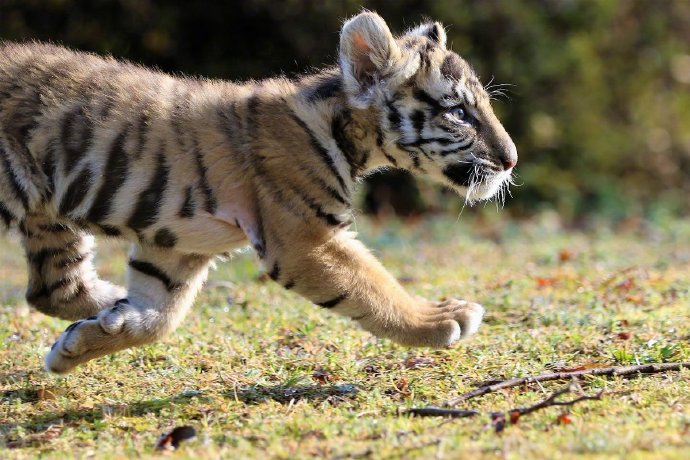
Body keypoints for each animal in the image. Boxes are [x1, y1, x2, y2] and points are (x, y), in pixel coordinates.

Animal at [0, 12, 516, 374]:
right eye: (459, 113)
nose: (511, 159)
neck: (344, 131)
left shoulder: (179, 248)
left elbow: (159, 317)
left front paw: (79, 344)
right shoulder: (307, 240)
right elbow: (374, 288)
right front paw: (441, 319)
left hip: (50, 217)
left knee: (51, 288)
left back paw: (102, 308)